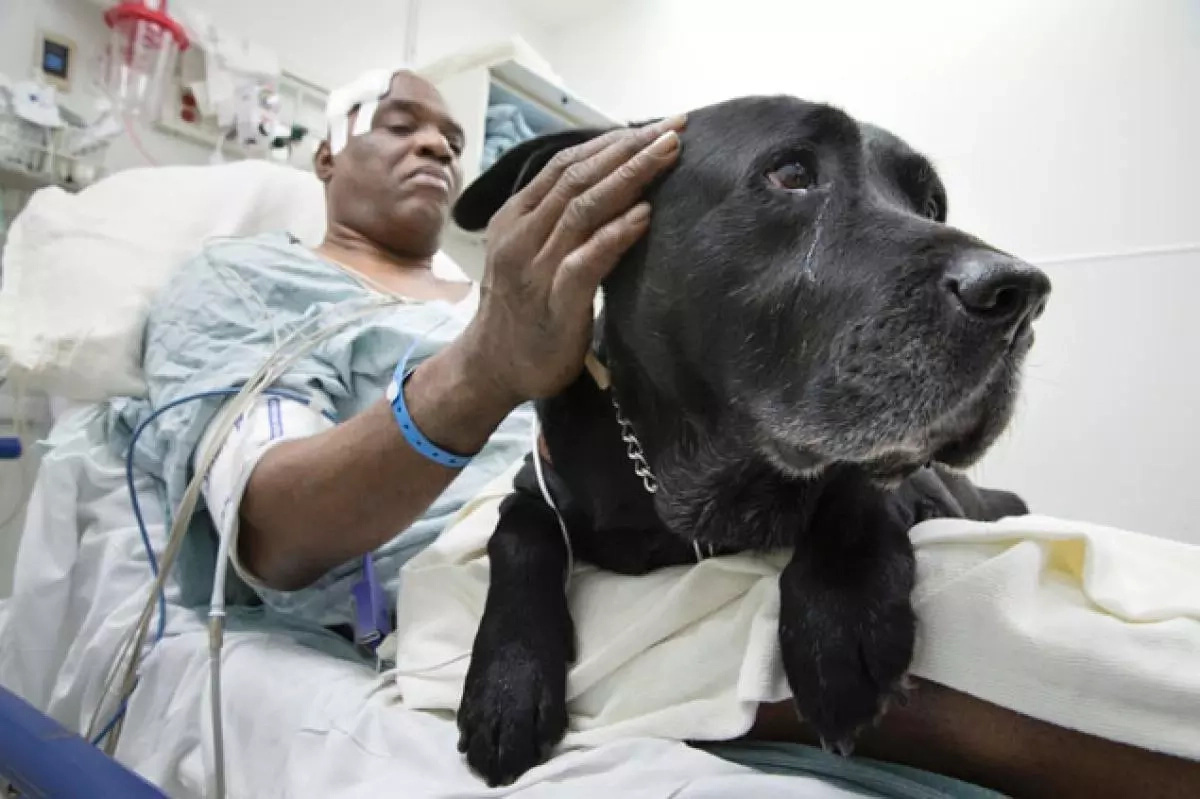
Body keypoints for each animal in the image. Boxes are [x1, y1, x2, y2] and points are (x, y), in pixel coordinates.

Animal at [446, 94, 1046, 782]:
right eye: (791, 173)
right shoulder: (537, 484)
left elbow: (859, 487)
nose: (1023, 296)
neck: (703, 472)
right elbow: (519, 532)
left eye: (932, 205)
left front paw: (838, 616)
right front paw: (508, 682)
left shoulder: (915, 484)